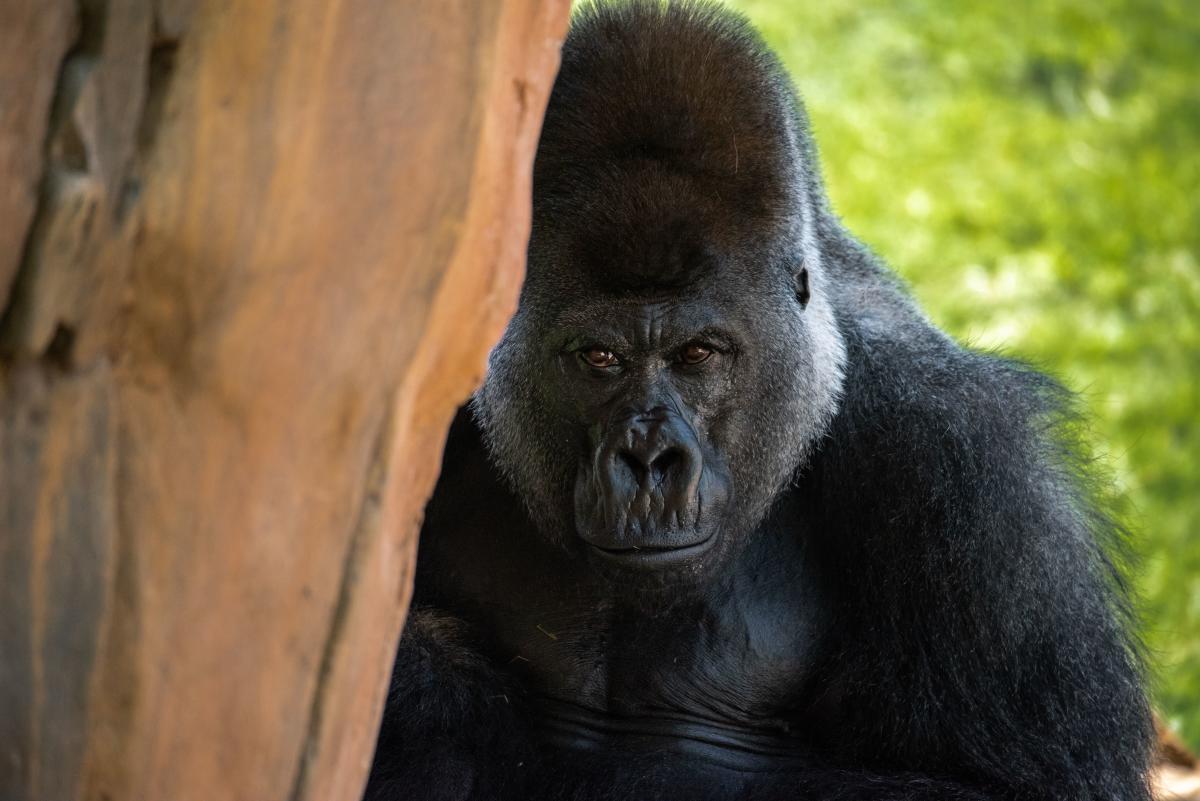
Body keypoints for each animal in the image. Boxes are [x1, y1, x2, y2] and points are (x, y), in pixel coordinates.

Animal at [362, 3, 1152, 796]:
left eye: (698, 355)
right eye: (599, 357)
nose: (647, 460)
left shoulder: (973, 472)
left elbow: (1025, 782)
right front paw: (437, 685)